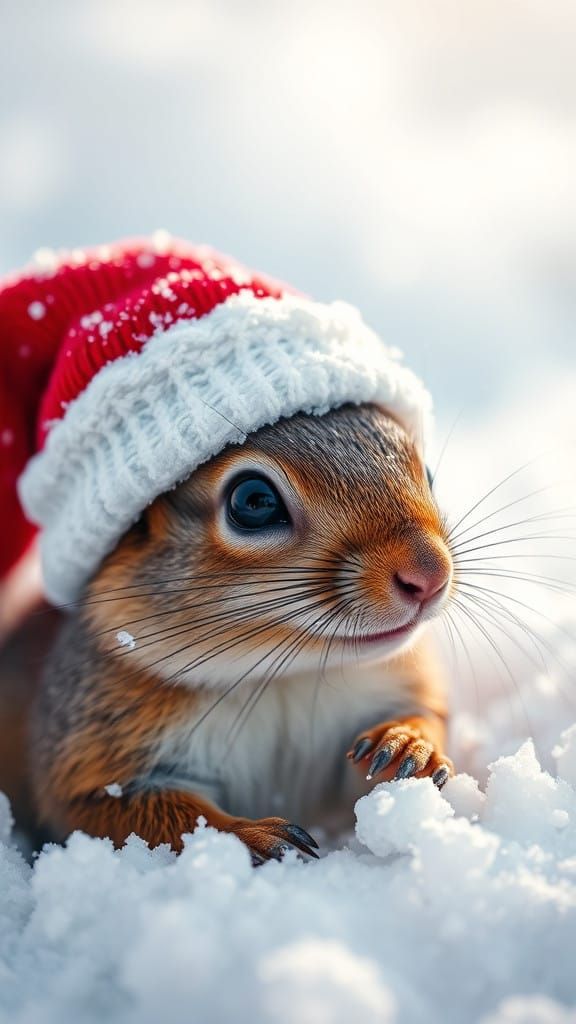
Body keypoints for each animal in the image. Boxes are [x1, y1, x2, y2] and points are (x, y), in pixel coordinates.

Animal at [0, 237, 453, 861]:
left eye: (427, 471)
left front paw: (408, 741)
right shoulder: (85, 757)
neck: (281, 677)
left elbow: (429, 717)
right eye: (253, 501)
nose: (430, 574)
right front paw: (253, 835)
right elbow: (139, 817)